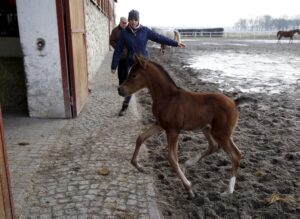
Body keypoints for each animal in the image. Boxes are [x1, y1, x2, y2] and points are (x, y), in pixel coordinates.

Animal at [118, 54, 243, 198]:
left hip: (221, 133)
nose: (120, 90)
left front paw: (189, 188)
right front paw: (138, 166)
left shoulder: (173, 130)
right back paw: (189, 163)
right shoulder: (160, 124)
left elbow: (172, 158)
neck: (167, 97)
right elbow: (140, 138)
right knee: (214, 146)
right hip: (207, 129)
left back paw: (228, 190)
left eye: (134, 75)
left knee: (236, 155)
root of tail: (234, 103)